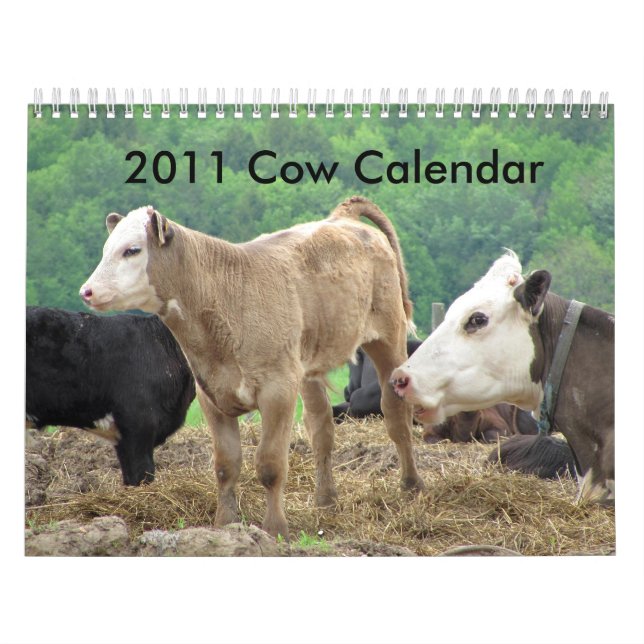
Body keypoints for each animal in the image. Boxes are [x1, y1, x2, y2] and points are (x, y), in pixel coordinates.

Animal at [79, 197, 424, 540]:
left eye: (132, 250)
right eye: (107, 248)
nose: (87, 291)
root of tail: (342, 219)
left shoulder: (277, 391)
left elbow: (270, 465)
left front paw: (275, 529)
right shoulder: (211, 395)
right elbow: (225, 465)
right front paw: (225, 524)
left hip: (388, 338)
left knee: (395, 416)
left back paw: (411, 486)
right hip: (307, 366)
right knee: (321, 427)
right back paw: (325, 500)